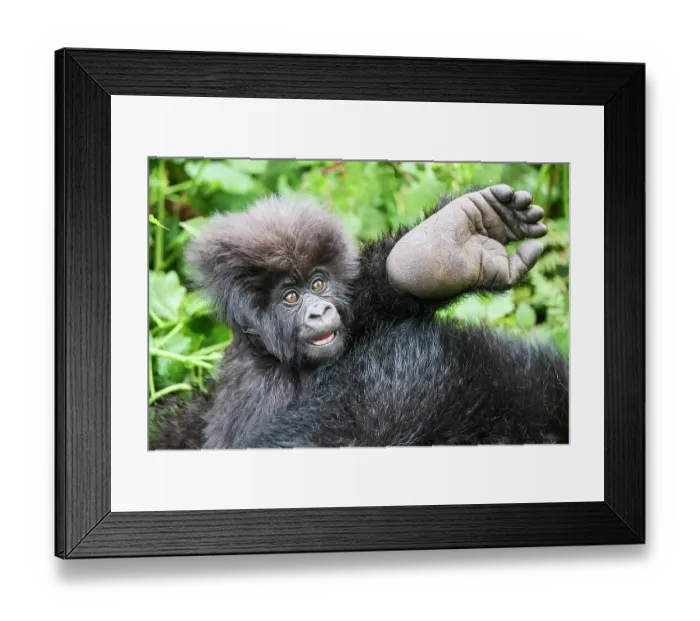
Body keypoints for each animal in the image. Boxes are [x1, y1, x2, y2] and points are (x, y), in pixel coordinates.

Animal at [149, 184, 568, 449]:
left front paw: (439, 252)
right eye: (291, 297)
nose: (320, 310)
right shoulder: (262, 390)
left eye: (318, 285)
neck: (275, 358)